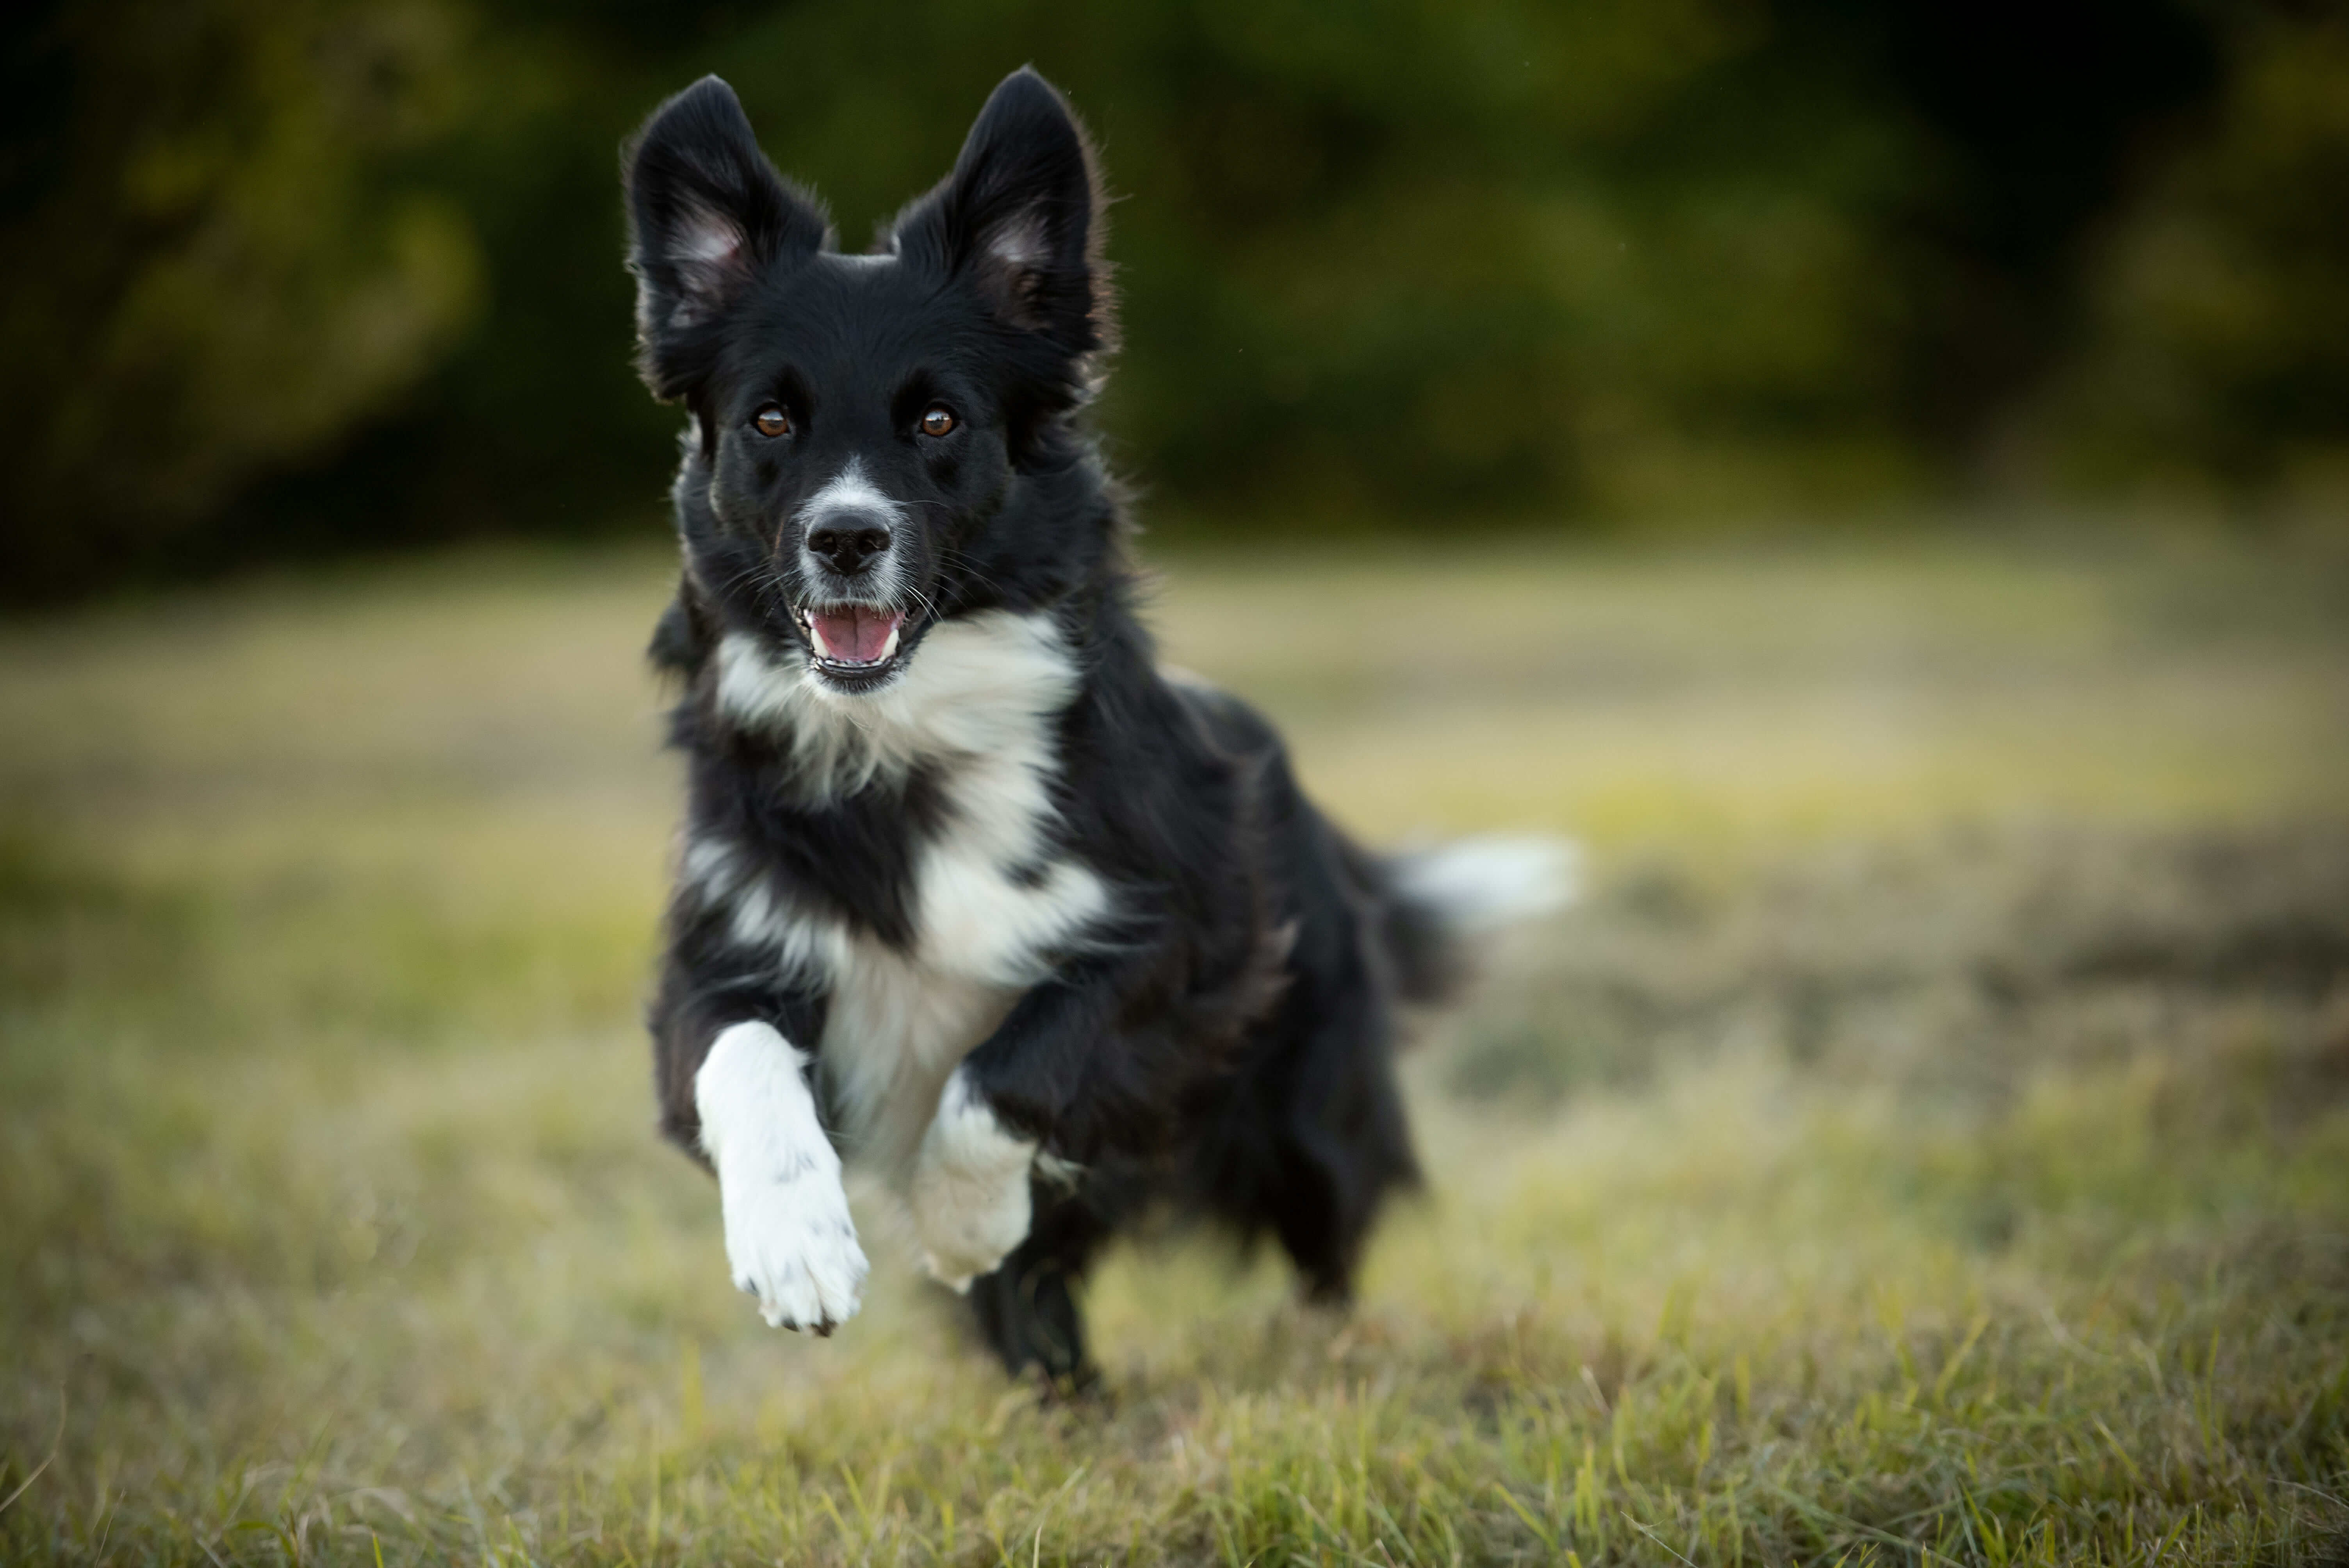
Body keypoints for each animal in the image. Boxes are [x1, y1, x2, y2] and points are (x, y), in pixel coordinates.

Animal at [625, 67, 1578, 1380]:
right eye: (770, 422)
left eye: (938, 423)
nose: (846, 538)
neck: (904, 739)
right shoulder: (722, 951)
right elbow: (740, 1058)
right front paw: (798, 1251)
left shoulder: (1199, 936)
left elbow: (1018, 1063)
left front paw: (957, 1217)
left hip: (1311, 1112)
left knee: (1323, 1240)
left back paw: (1326, 1355)